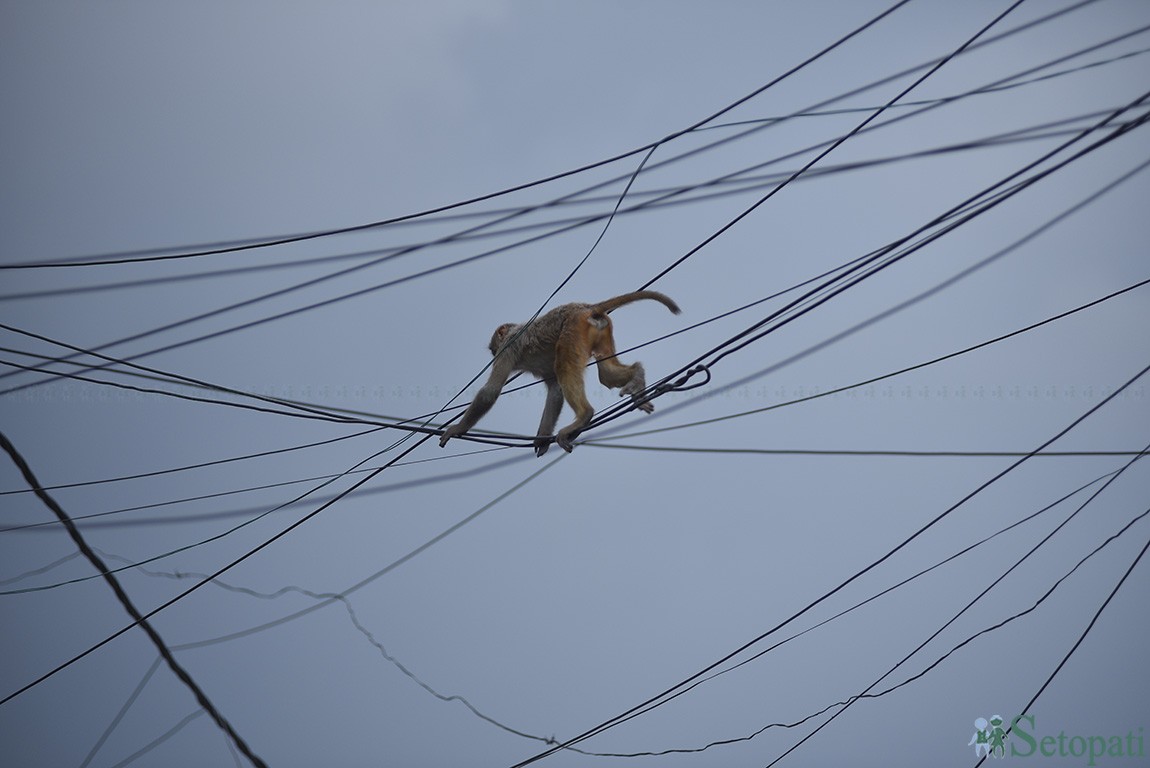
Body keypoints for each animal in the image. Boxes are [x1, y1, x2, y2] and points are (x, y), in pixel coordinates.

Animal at [434, 290, 676, 452]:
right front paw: (542, 439)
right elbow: (555, 390)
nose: (492, 353)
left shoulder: (508, 347)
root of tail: (586, 308)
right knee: (605, 374)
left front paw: (457, 428)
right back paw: (637, 377)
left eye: (495, 347)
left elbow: (491, 391)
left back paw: (585, 414)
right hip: (601, 332)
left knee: (566, 368)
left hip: (573, 330)